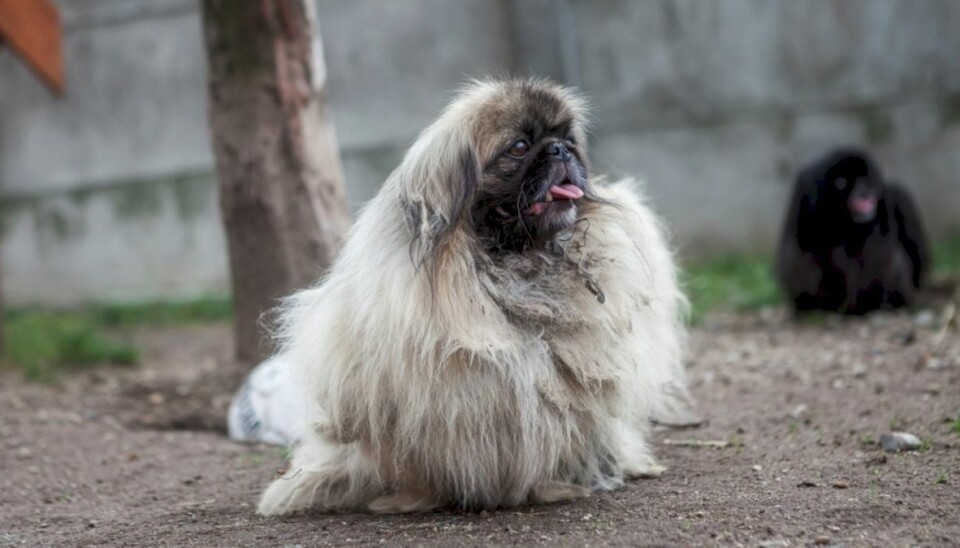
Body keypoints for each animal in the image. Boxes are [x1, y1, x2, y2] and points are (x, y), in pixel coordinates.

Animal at [780, 148, 928, 314]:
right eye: (858, 184)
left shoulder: (892, 197)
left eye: (868, 182)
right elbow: (800, 245)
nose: (866, 192)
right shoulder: (805, 189)